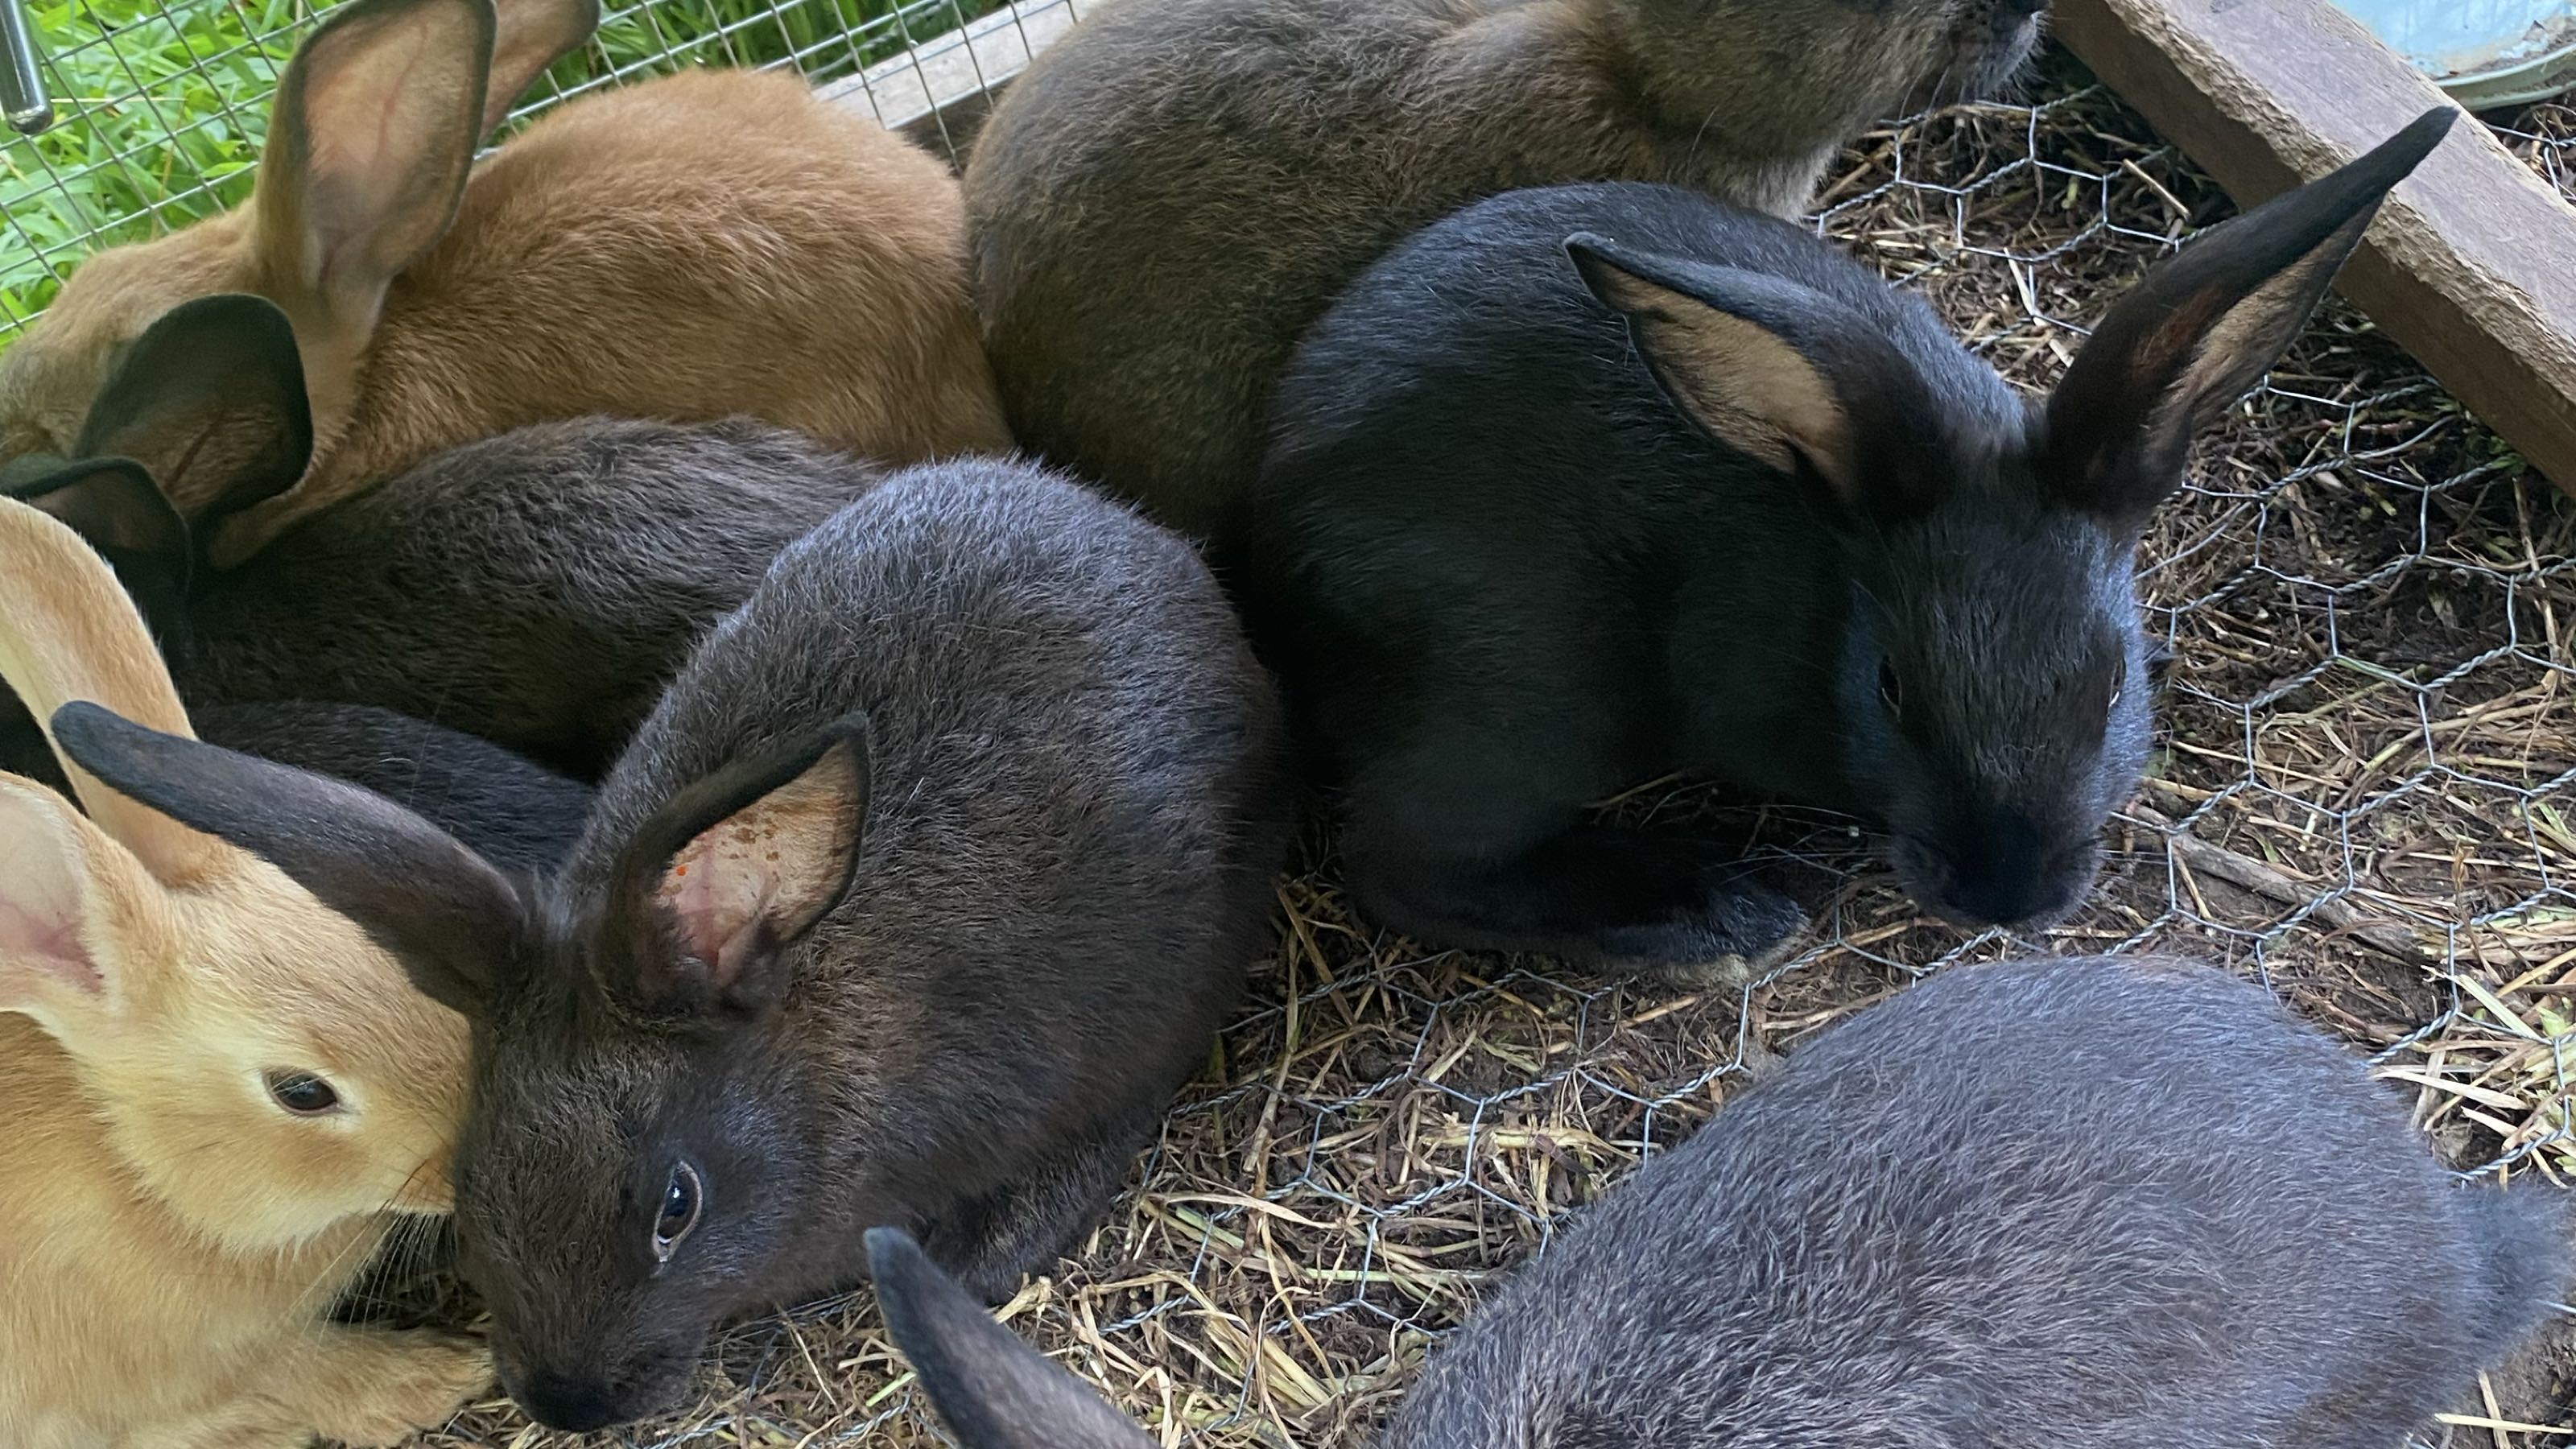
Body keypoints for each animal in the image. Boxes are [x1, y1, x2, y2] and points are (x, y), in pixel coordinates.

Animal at [1232, 110, 2460, 978]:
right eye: (1892, 689)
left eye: (2113, 686)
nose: (2003, 895)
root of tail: (1271, 535)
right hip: (1534, 687)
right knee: (1408, 864)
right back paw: (1715, 922)